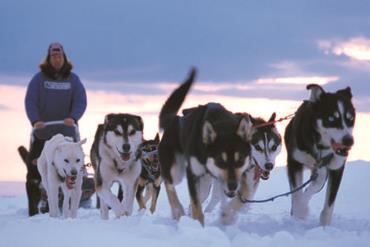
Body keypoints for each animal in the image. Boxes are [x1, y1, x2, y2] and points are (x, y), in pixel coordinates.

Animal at [159, 68, 254, 225]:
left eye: (239, 161)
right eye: (220, 161)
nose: (232, 185)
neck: (222, 126)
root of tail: (175, 120)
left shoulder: (243, 172)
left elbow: (245, 194)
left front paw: (227, 216)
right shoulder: (192, 174)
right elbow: (197, 209)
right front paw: (198, 226)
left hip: (204, 185)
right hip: (176, 171)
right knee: (169, 184)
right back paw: (178, 211)